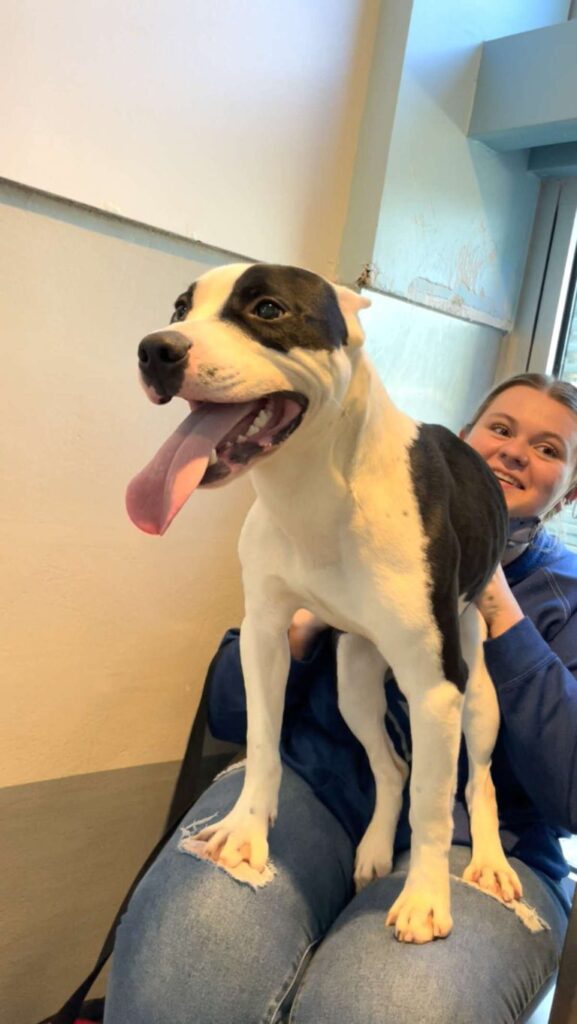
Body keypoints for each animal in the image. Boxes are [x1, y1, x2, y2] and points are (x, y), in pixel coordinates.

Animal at [126, 262, 524, 942]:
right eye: (180, 309)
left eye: (267, 309)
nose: (156, 349)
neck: (315, 487)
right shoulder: (265, 636)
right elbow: (263, 741)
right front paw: (246, 830)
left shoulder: (433, 688)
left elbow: (434, 807)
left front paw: (425, 895)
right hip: (354, 682)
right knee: (391, 767)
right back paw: (373, 849)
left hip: (474, 694)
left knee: (478, 782)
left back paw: (490, 862)